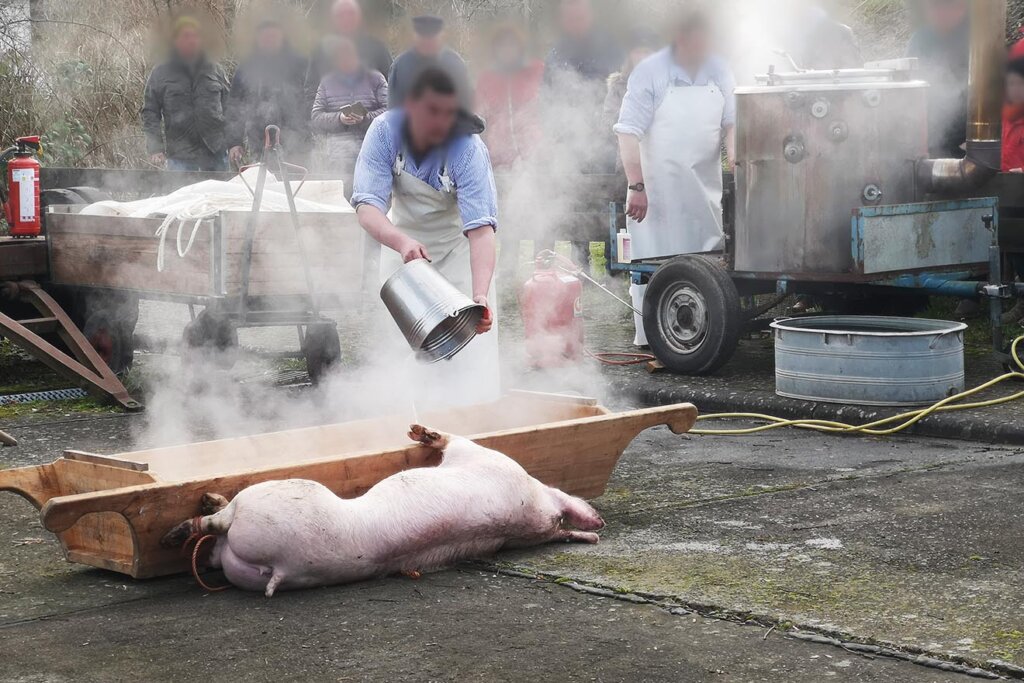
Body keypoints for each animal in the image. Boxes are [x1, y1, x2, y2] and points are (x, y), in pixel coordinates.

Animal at [162, 423, 602, 593]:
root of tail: (282, 565)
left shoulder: (483, 459)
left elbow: (451, 441)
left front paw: (418, 432)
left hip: (273, 501)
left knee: (217, 523)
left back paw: (183, 525)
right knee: (215, 552)